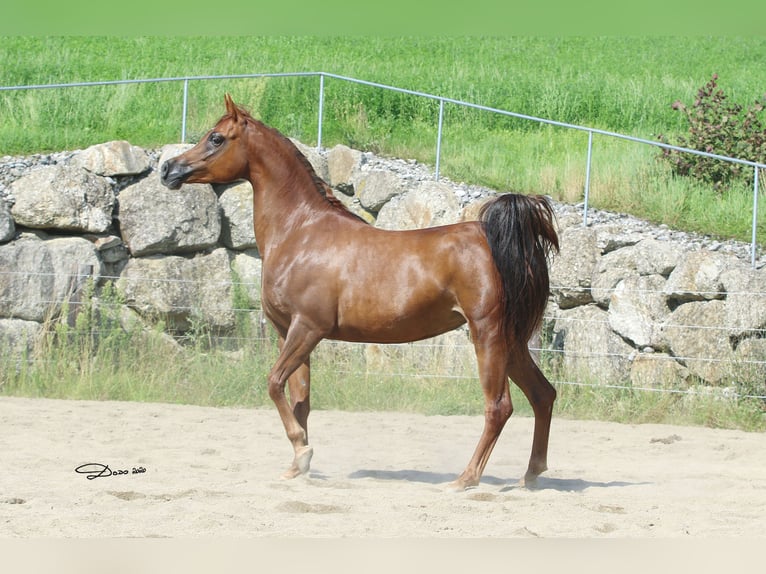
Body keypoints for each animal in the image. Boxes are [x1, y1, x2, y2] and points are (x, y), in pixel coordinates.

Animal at [160, 94, 560, 490]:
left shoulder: (308, 328)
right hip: (512, 341)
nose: (168, 170)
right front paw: (298, 464)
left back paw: (466, 479)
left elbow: (274, 384)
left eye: (216, 138)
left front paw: (303, 451)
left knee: (499, 406)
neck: (300, 232)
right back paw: (531, 473)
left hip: (487, 334)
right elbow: (299, 399)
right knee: (543, 394)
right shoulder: (288, 333)